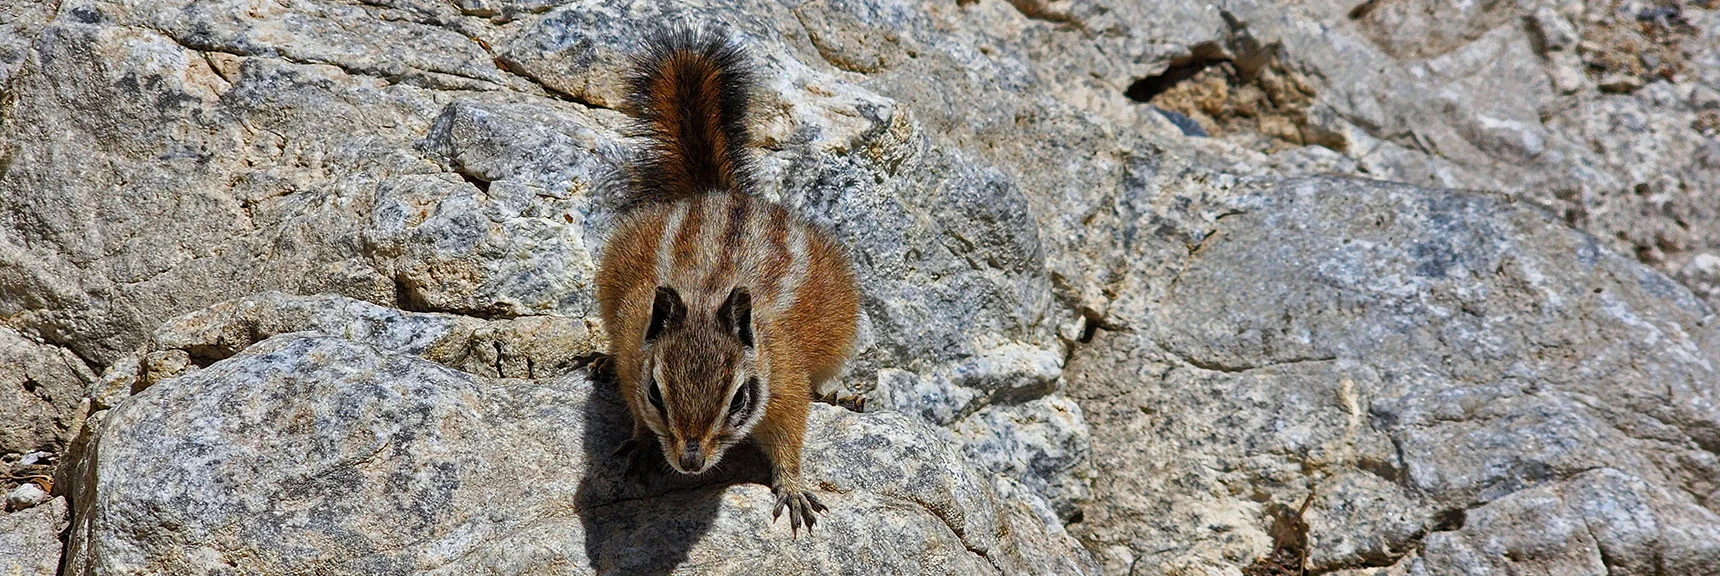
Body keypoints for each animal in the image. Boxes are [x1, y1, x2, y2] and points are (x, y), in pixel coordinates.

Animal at [592, 29, 860, 534]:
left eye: (739, 400)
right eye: (655, 392)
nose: (691, 461)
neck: (706, 293)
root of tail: (719, 191)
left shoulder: (785, 382)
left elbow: (791, 437)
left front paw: (793, 488)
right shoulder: (633, 353)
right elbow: (634, 409)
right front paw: (640, 442)